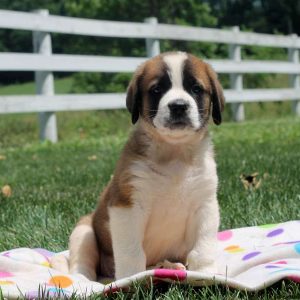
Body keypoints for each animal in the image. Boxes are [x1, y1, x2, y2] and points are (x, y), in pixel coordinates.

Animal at [52, 52, 225, 282]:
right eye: (157, 90)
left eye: (196, 89)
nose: (178, 106)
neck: (174, 153)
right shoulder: (127, 206)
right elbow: (131, 251)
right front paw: (131, 279)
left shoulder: (205, 205)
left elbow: (203, 246)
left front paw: (205, 272)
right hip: (84, 230)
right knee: (83, 259)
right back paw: (82, 279)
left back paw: (169, 265)